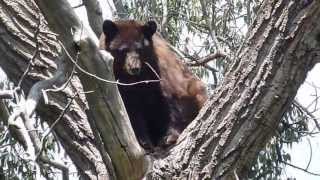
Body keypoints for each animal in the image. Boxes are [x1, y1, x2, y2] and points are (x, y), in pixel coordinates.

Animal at [99, 19, 208, 150]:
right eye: (123, 50)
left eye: (140, 49)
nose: (134, 68)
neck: (136, 78)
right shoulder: (122, 86)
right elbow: (132, 111)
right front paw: (144, 141)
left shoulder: (161, 71)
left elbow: (173, 100)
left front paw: (169, 137)